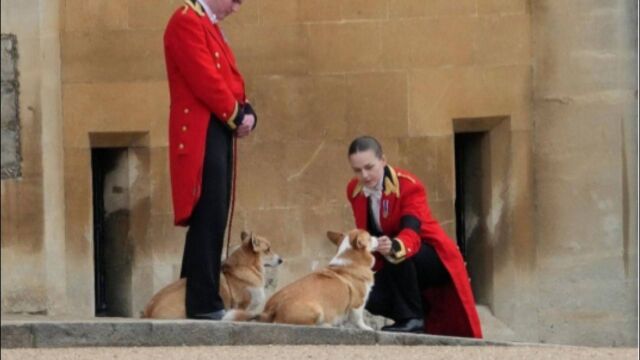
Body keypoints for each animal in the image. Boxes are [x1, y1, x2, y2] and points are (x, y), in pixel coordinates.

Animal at [222, 229, 378, 330]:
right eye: (370, 237)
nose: (378, 237)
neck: (351, 260)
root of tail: (270, 310)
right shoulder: (358, 302)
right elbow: (358, 318)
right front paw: (366, 328)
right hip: (316, 310)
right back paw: (326, 325)